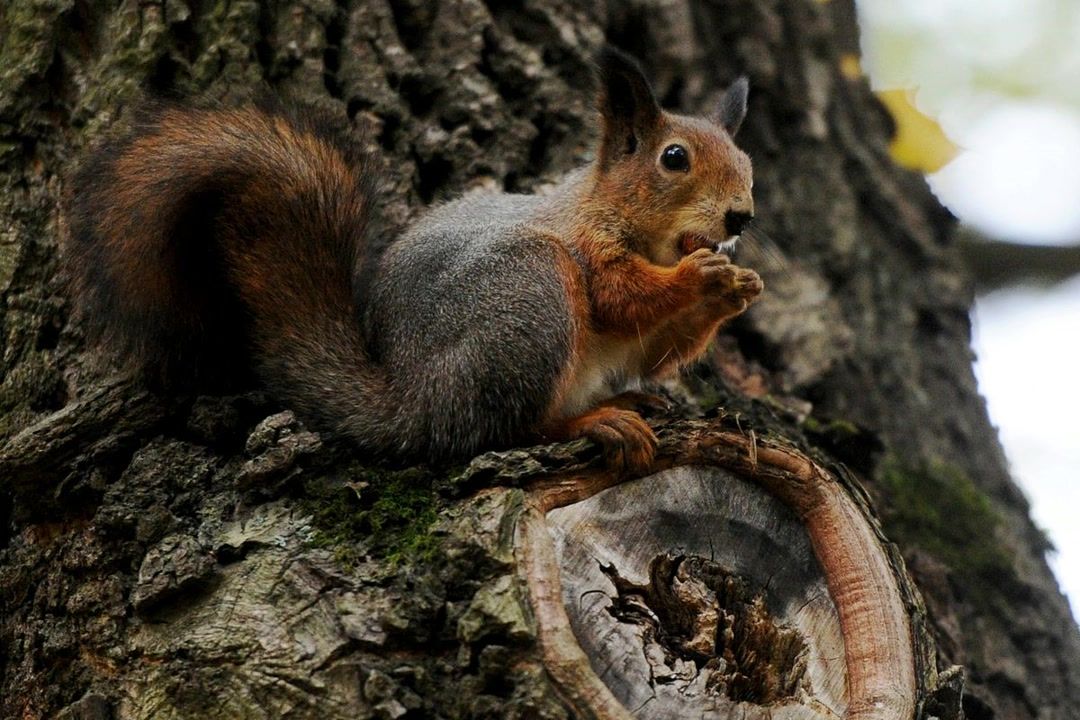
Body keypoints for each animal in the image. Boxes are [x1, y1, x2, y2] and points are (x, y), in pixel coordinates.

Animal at [60, 48, 762, 473]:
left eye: (746, 162)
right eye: (674, 158)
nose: (741, 218)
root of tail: (413, 403)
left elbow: (654, 350)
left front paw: (735, 289)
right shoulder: (586, 243)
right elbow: (622, 295)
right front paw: (700, 277)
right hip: (530, 298)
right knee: (506, 428)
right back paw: (598, 422)